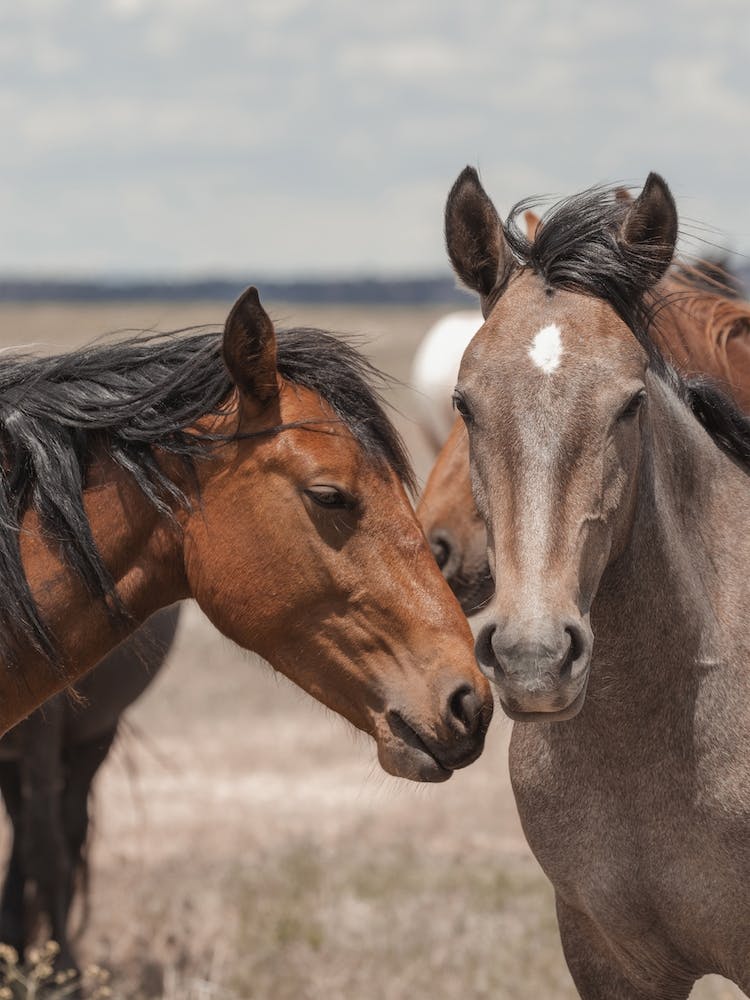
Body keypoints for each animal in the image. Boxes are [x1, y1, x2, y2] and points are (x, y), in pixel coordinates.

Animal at [0, 604, 180, 973]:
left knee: (65, 829)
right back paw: (14, 948)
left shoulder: (45, 717)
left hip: (96, 732)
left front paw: (63, 972)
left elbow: (47, 851)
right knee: (24, 824)